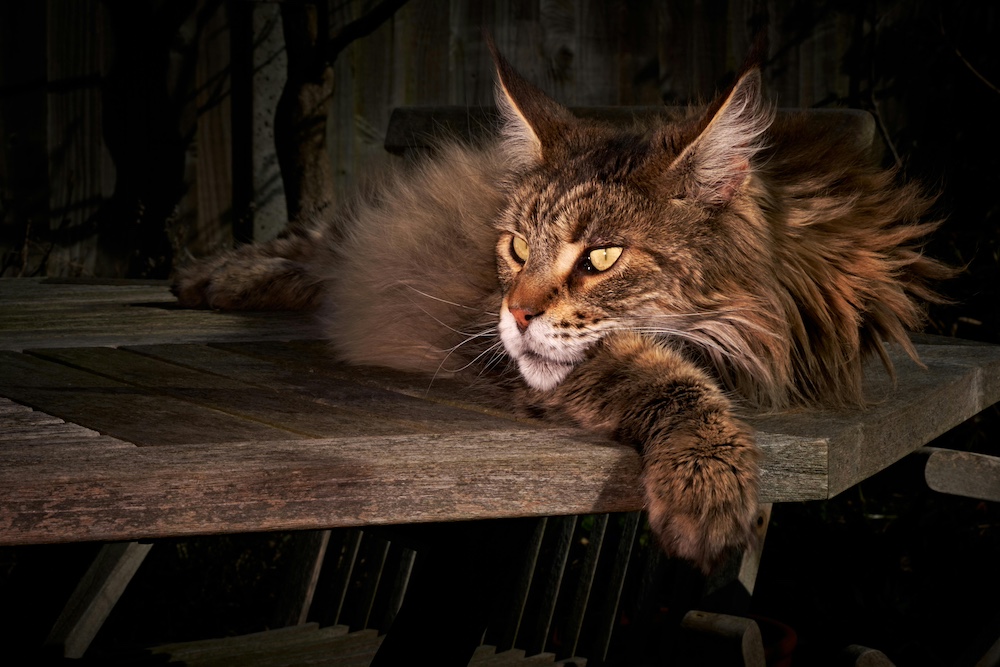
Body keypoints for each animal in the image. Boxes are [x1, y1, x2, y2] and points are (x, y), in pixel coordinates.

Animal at [176, 41, 948, 576]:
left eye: (600, 257)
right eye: (518, 246)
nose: (515, 313)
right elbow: (665, 375)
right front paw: (707, 485)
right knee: (316, 240)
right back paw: (213, 278)